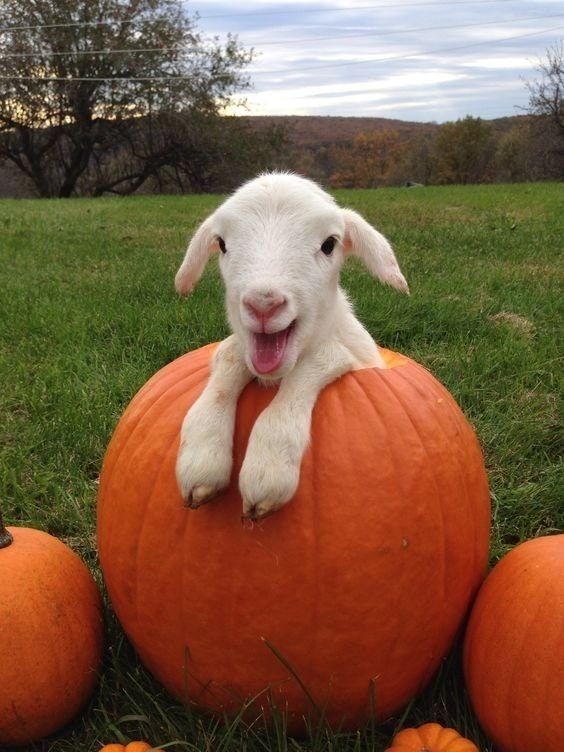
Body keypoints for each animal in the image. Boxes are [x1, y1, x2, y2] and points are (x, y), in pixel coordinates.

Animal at [174, 173, 408, 520]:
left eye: (329, 244)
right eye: (222, 244)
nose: (263, 304)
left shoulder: (349, 356)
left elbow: (324, 358)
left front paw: (268, 468)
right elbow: (228, 357)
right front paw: (202, 457)